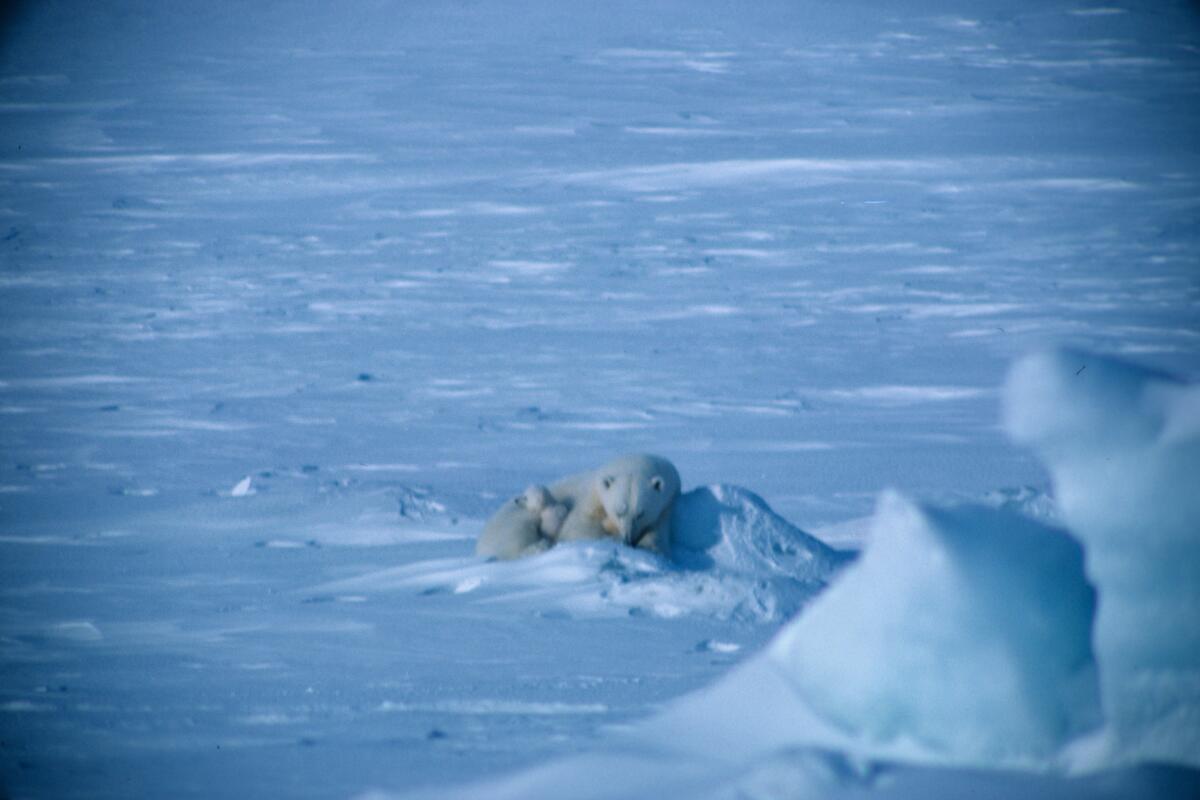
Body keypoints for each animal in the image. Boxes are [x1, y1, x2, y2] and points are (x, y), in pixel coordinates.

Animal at [477, 453, 686, 561]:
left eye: (640, 513)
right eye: (619, 511)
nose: (628, 540)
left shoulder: (666, 505)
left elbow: (657, 536)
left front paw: (648, 546)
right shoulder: (588, 501)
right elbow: (577, 530)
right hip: (513, 520)